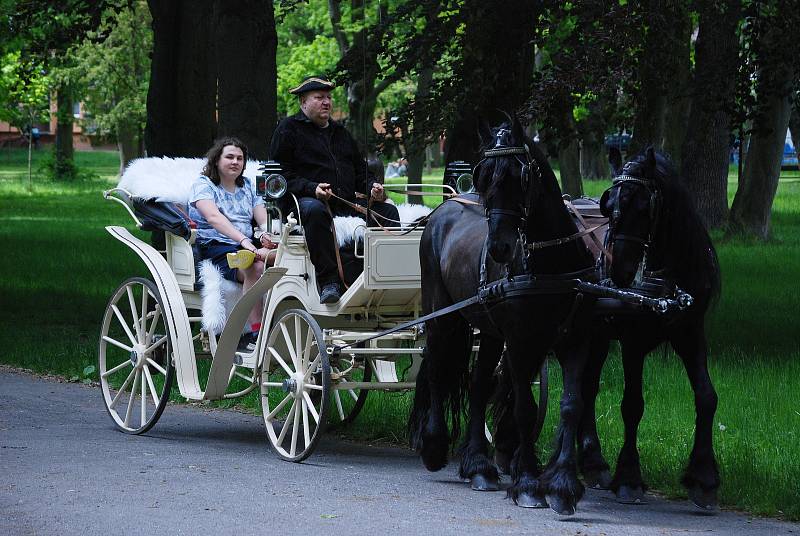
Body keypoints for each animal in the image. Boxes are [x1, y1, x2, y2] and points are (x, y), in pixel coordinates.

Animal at [412, 118, 600, 516]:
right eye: (482, 177)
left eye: (521, 175)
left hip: (489, 331)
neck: (551, 264)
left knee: (479, 383)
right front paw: (528, 483)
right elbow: (525, 408)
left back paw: (478, 467)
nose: (499, 248)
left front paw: (562, 486)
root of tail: (442, 208)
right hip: (441, 316)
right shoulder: (519, 341)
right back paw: (435, 445)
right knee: (436, 368)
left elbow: (572, 405)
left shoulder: (576, 339)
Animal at [568, 149, 724, 508]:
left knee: (587, 387)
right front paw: (628, 477)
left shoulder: (691, 333)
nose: (619, 272)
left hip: (596, 335)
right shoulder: (633, 342)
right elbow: (632, 405)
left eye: (643, 207)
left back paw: (593, 463)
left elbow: (707, 396)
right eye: (608, 205)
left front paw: (704, 477)